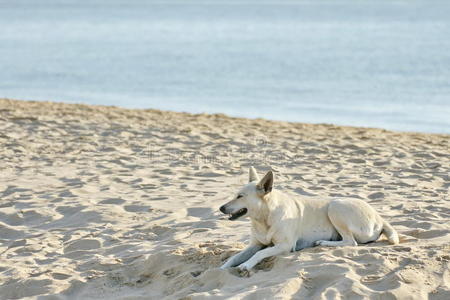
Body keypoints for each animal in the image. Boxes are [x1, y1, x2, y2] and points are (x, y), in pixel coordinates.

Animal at [220, 166, 400, 274]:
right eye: (235, 194)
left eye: (240, 196)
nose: (221, 208)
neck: (264, 218)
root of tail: (379, 216)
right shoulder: (255, 244)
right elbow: (235, 257)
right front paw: (222, 267)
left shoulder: (285, 245)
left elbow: (261, 253)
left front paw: (246, 265)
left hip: (335, 206)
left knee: (351, 241)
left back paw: (323, 242)